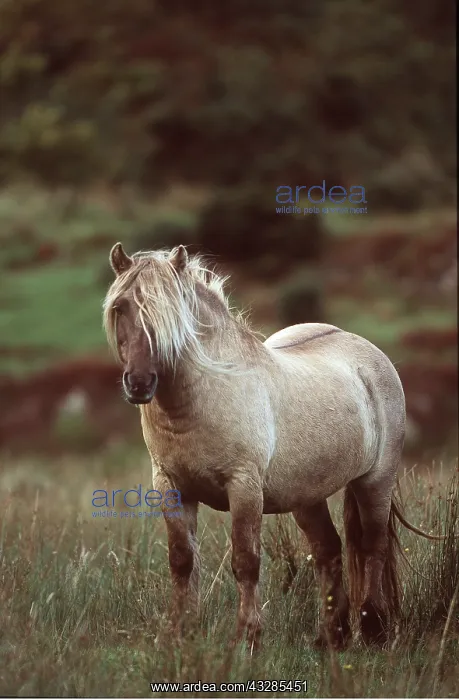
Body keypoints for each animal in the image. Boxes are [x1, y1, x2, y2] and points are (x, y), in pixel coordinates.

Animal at [103, 242, 443, 651]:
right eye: (121, 307)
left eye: (171, 314)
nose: (139, 383)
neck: (205, 395)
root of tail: (369, 354)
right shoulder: (171, 487)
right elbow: (182, 560)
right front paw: (179, 633)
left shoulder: (244, 487)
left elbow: (246, 561)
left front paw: (247, 637)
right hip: (307, 496)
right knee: (328, 550)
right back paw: (332, 636)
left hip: (375, 480)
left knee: (372, 545)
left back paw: (373, 628)